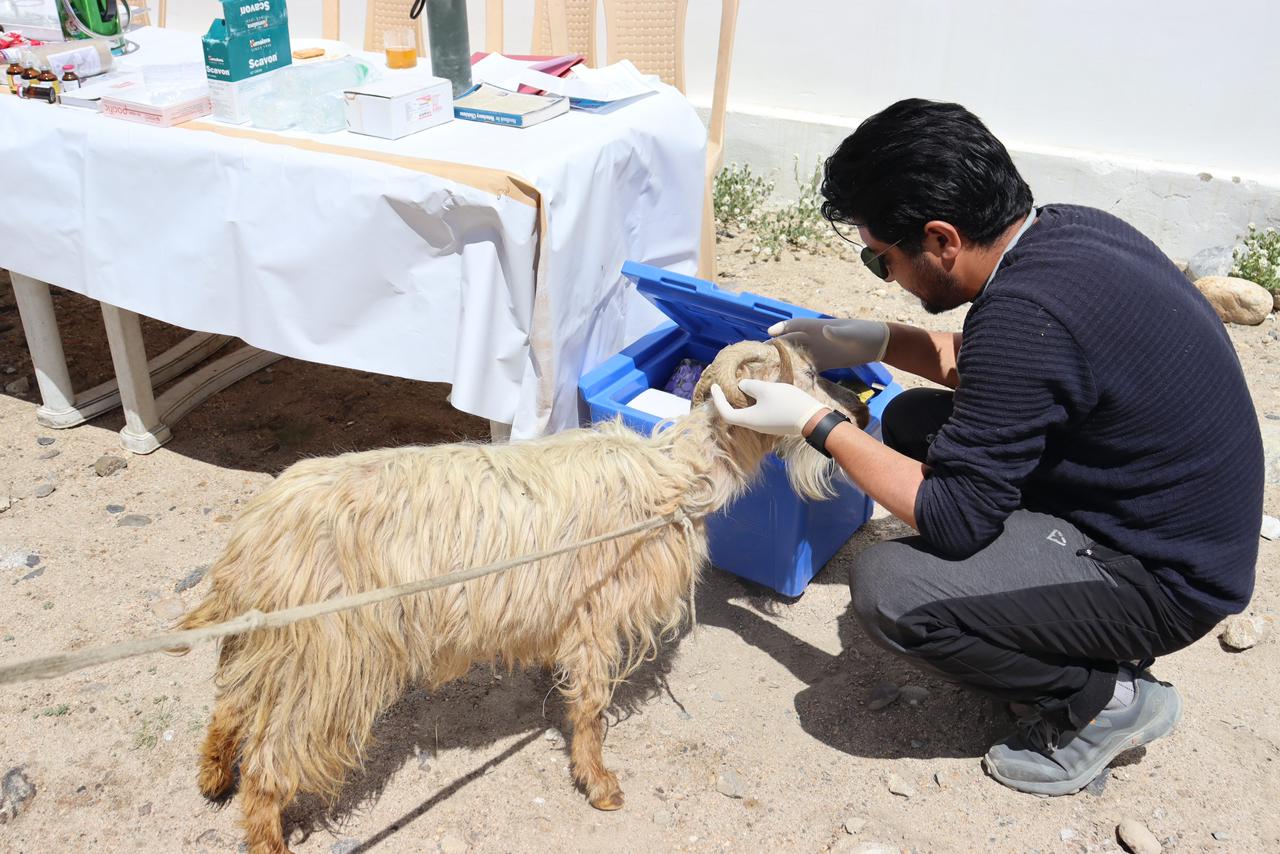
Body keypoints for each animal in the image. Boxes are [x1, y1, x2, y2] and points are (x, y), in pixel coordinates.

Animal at [180, 338, 875, 850]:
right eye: (807, 376)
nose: (861, 415)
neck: (677, 475)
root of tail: (252, 539)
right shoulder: (599, 614)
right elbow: (590, 706)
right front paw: (601, 786)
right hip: (329, 662)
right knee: (270, 763)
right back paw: (265, 835)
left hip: (272, 650)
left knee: (228, 709)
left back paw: (213, 776)